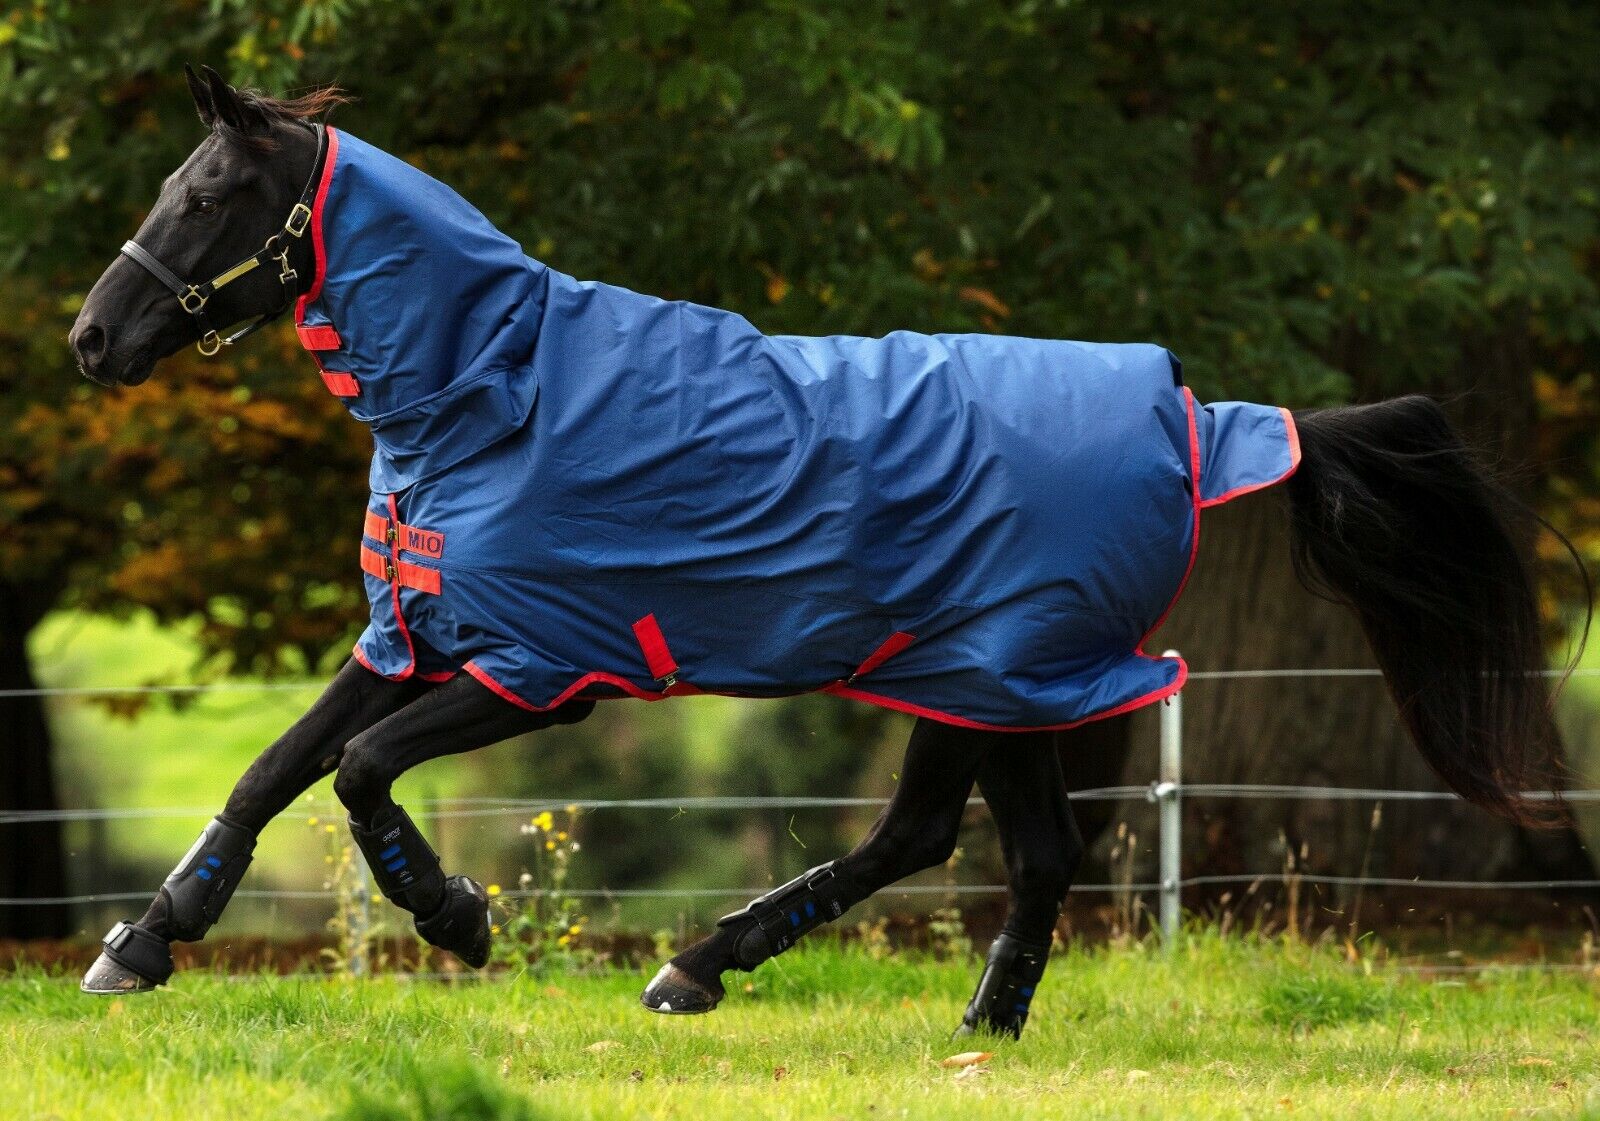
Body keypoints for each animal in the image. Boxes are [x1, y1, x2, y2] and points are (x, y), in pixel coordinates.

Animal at [66, 67, 1581, 1037]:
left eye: (207, 193)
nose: (91, 339)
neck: (497, 390)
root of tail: (1202, 419)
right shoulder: (412, 637)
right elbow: (276, 769)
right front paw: (143, 943)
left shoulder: (544, 670)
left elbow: (363, 773)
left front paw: (458, 918)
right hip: (989, 682)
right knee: (995, 845)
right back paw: (909, 1004)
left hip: (993, 673)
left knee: (966, 840)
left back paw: (748, 975)